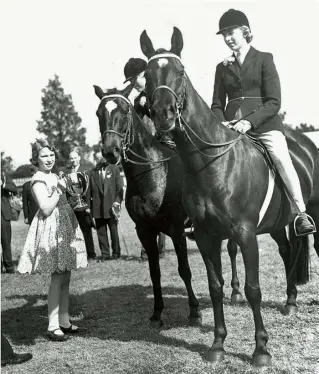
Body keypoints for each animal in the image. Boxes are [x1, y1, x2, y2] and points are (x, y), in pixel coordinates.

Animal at [94, 84, 201, 328]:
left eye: (125, 111)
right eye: (98, 113)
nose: (110, 151)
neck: (152, 172)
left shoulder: (177, 230)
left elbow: (184, 270)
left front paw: (194, 311)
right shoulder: (144, 230)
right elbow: (154, 272)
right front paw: (157, 313)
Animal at [141, 27, 319, 366]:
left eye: (181, 72)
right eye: (147, 74)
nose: (163, 116)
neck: (212, 164)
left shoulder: (245, 234)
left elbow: (252, 290)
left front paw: (261, 350)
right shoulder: (206, 236)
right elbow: (215, 288)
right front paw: (217, 345)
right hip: (277, 224)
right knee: (288, 251)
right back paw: (290, 302)